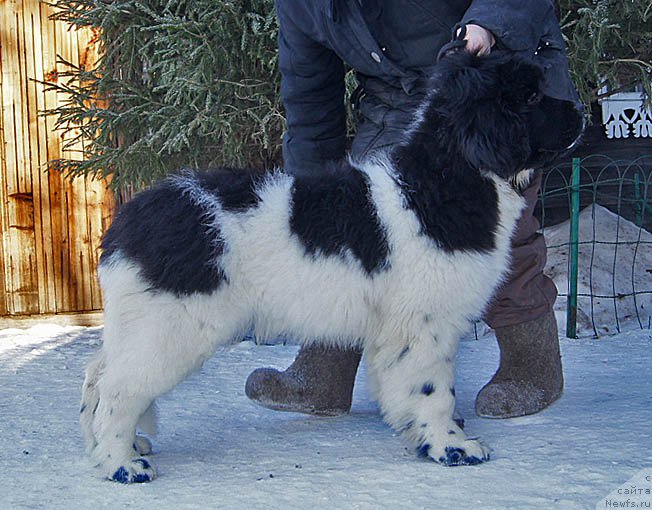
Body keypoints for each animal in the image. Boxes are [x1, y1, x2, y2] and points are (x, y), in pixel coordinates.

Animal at [80, 50, 580, 482]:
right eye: (530, 97)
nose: (579, 110)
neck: (440, 182)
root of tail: (127, 220)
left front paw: (422, 435)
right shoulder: (422, 323)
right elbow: (433, 389)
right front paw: (451, 446)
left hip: (142, 321)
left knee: (98, 374)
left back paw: (115, 446)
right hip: (170, 326)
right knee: (118, 388)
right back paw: (121, 463)